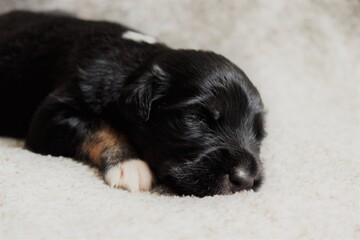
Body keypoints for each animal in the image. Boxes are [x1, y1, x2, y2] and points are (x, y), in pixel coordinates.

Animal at [0, 10, 264, 197]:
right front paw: (130, 164)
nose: (246, 180)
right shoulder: (51, 115)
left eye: (259, 135)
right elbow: (99, 125)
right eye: (198, 119)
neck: (136, 66)